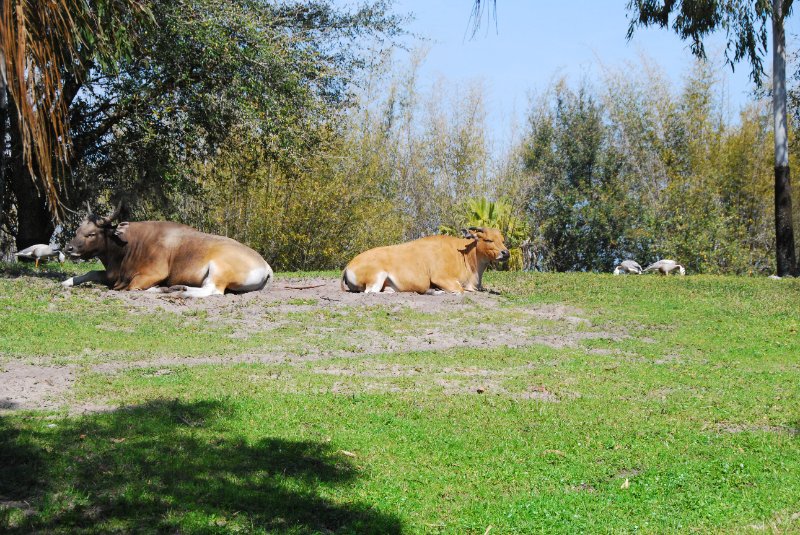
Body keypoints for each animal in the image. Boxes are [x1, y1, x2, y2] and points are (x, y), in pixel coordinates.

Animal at [60, 204, 272, 300]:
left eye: (91, 233)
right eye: (77, 231)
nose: (69, 248)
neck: (130, 245)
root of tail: (264, 264)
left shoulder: (152, 274)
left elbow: (132, 287)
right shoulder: (114, 274)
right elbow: (91, 272)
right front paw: (67, 282)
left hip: (218, 269)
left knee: (212, 290)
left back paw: (179, 291)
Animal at [340, 226, 510, 294]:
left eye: (502, 240)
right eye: (488, 240)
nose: (506, 253)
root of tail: (349, 265)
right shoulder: (441, 278)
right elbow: (460, 290)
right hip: (377, 277)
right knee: (371, 292)